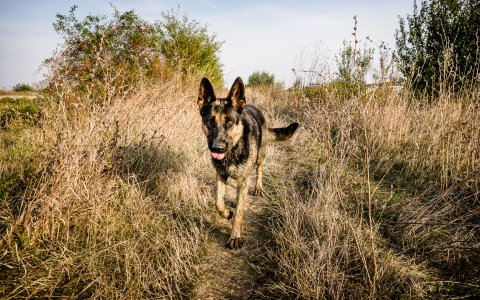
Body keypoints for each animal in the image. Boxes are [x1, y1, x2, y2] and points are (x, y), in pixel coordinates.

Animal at [197, 77, 298, 248]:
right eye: (210, 121)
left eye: (229, 122)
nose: (218, 148)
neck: (233, 150)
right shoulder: (220, 175)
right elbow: (218, 203)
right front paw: (227, 213)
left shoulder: (243, 180)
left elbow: (239, 213)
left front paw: (235, 236)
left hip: (260, 156)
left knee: (259, 170)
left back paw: (258, 187)